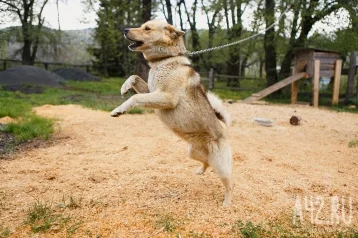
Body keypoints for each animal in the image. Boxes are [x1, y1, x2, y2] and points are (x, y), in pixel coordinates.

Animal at [110, 20, 232, 206]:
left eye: (147, 28)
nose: (125, 29)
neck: (165, 60)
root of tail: (223, 130)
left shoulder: (166, 98)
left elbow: (136, 97)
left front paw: (119, 109)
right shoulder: (152, 91)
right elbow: (134, 77)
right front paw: (125, 87)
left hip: (221, 165)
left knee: (228, 184)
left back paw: (227, 204)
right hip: (193, 153)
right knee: (206, 162)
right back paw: (200, 171)